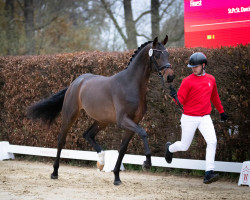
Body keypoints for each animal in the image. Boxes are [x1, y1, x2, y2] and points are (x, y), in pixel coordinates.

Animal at [27, 34, 175, 186]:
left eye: (168, 54)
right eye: (157, 55)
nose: (170, 76)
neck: (130, 85)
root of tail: (75, 82)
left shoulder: (133, 122)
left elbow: (123, 149)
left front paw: (117, 177)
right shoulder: (123, 120)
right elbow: (143, 133)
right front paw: (147, 163)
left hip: (102, 121)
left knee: (88, 134)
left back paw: (102, 159)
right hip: (70, 115)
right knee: (61, 139)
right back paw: (55, 172)